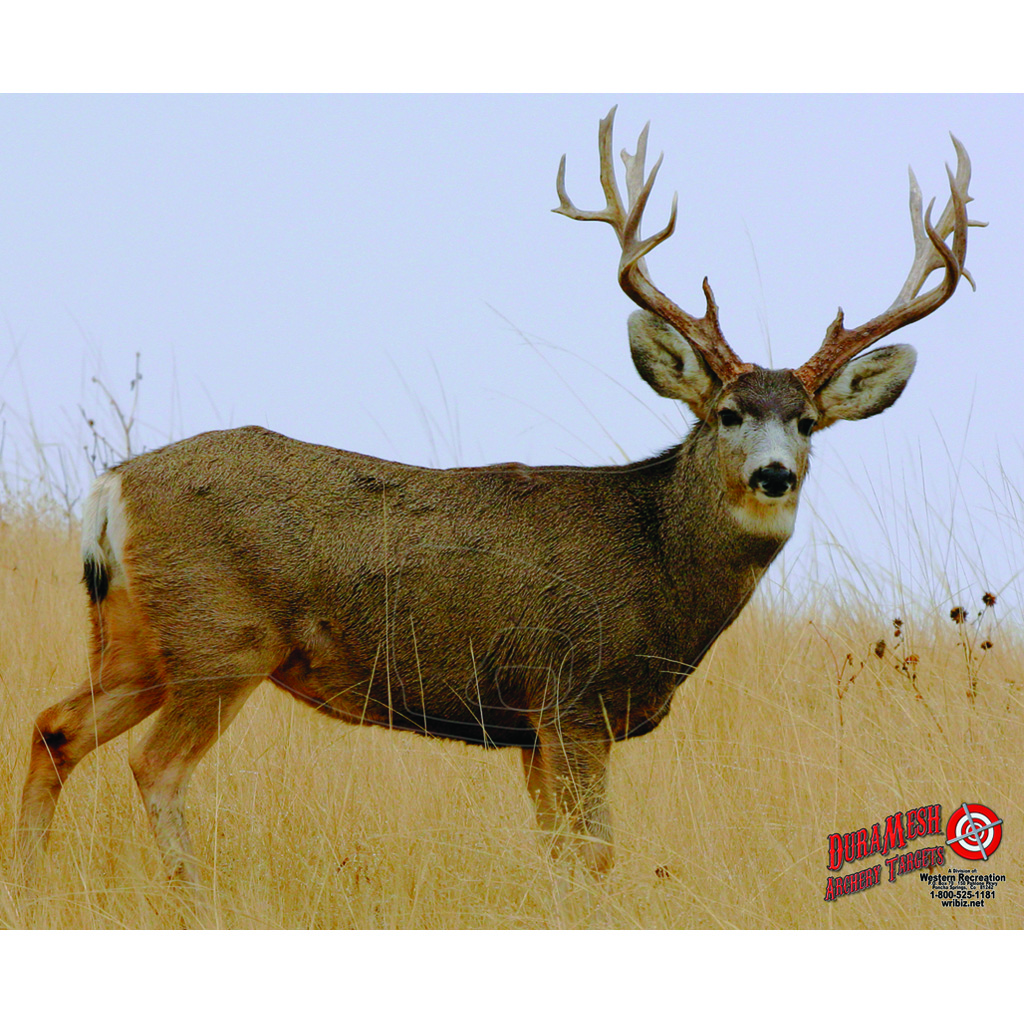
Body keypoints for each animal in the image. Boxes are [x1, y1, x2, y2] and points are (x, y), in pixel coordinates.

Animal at [17, 109, 981, 882]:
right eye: (730, 413)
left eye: (810, 423)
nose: (774, 474)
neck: (660, 570)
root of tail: (111, 487)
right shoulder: (572, 698)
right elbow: (595, 855)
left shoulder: (530, 728)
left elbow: (557, 854)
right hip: (222, 639)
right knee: (154, 767)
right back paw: (187, 894)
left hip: (138, 638)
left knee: (53, 726)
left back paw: (30, 880)